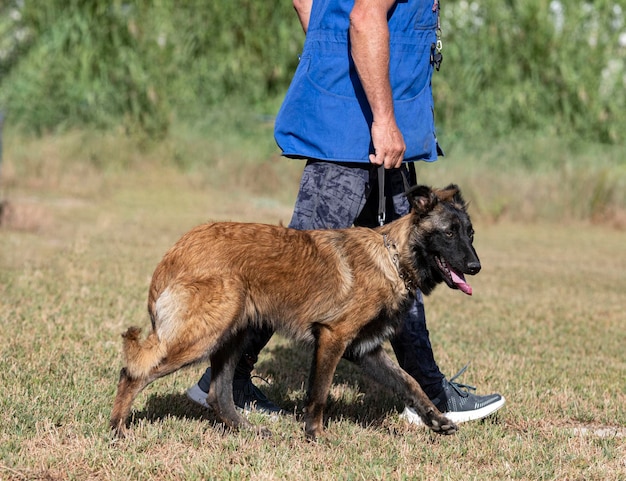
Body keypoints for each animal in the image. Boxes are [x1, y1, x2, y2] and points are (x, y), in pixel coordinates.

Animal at [111, 184, 478, 438]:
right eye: (449, 232)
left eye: (471, 233)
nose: (476, 267)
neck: (393, 257)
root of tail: (175, 252)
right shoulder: (332, 338)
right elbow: (319, 392)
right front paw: (315, 434)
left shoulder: (365, 350)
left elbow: (410, 382)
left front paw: (436, 418)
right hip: (201, 338)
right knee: (134, 373)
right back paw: (118, 429)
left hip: (232, 337)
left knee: (219, 394)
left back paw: (250, 431)